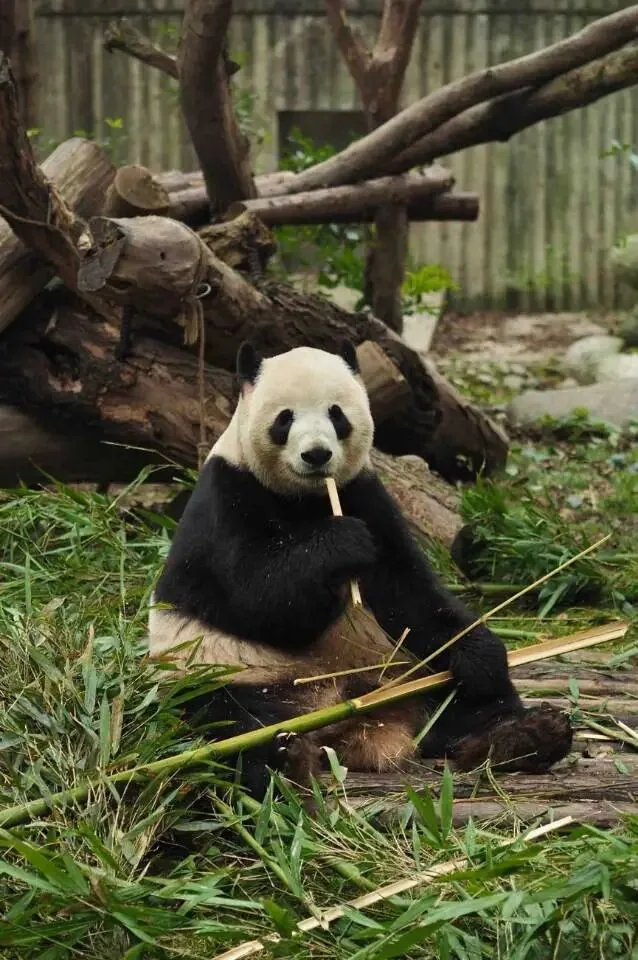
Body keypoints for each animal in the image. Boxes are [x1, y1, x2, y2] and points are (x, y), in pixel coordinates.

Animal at [148, 341, 572, 798]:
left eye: (336, 414)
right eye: (285, 418)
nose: (316, 454)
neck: (308, 498)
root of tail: (349, 721)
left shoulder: (365, 493)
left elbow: (410, 593)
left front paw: (481, 656)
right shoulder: (228, 496)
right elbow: (256, 601)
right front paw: (342, 545)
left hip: (404, 670)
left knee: (459, 704)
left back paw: (523, 735)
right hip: (229, 672)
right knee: (227, 721)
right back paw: (283, 758)